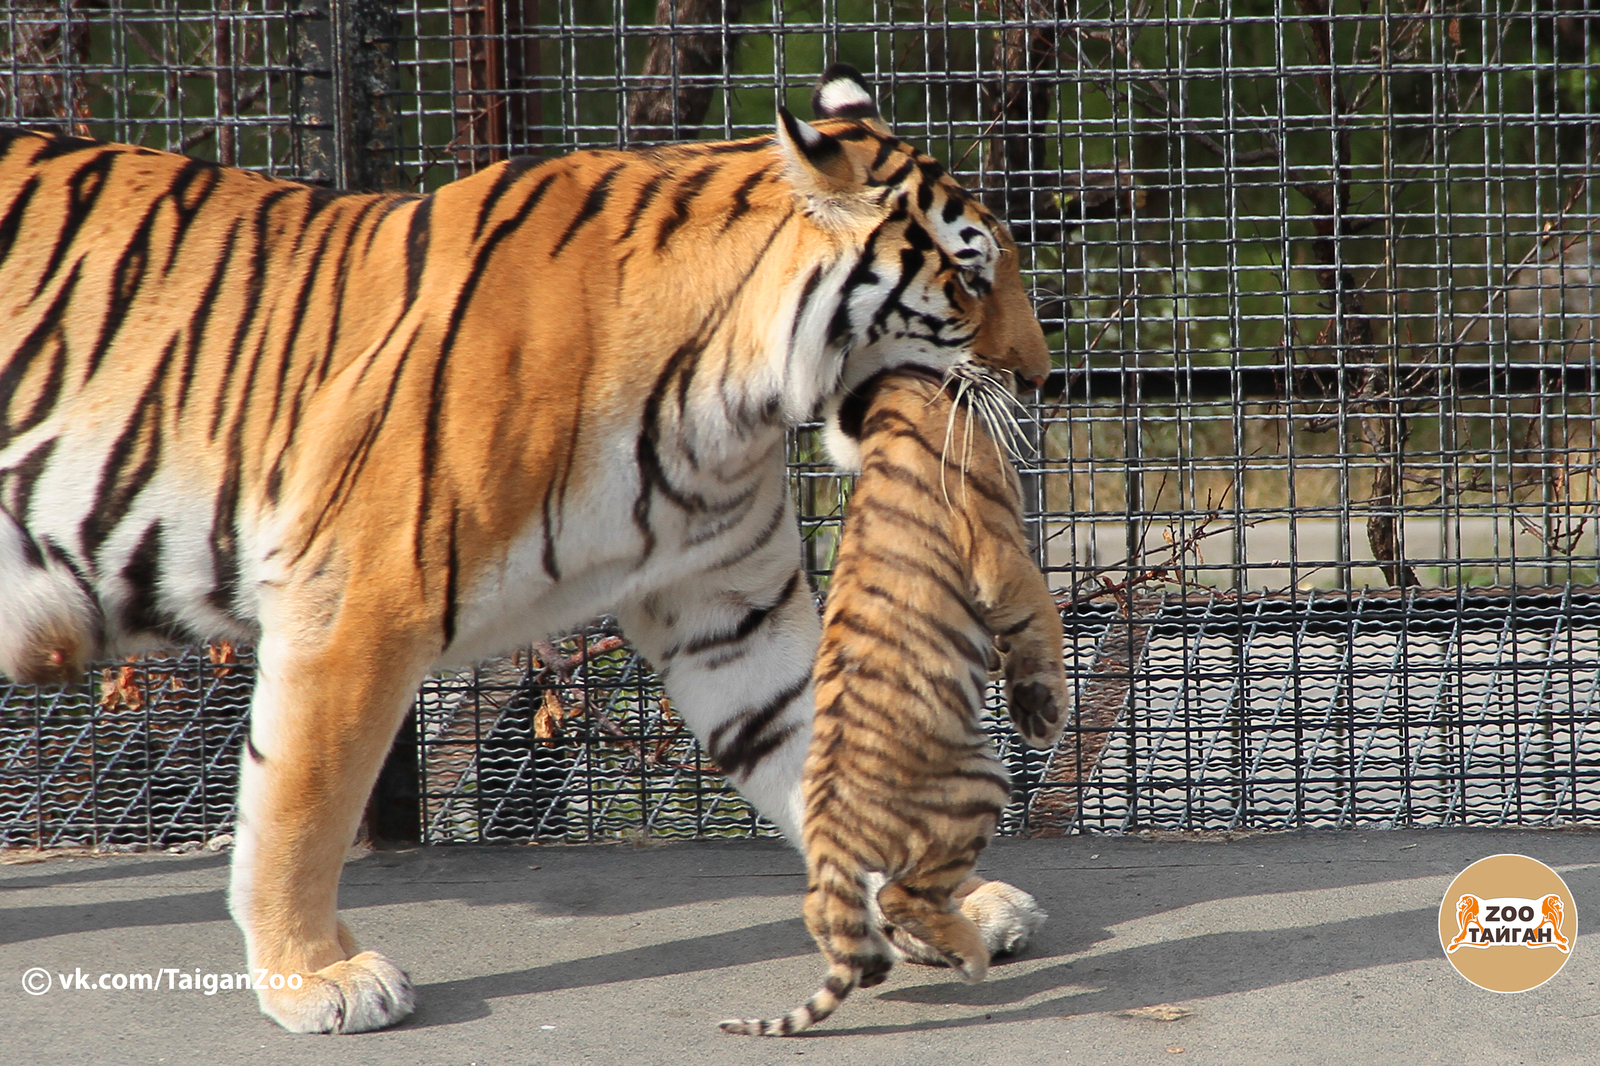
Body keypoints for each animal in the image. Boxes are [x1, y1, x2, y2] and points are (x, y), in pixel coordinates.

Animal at [0, 66, 1049, 1030]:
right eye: (970, 277)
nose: (1041, 376)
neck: (728, 393)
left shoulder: (729, 610)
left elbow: (814, 748)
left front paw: (945, 906)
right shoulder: (353, 606)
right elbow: (303, 807)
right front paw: (315, 975)